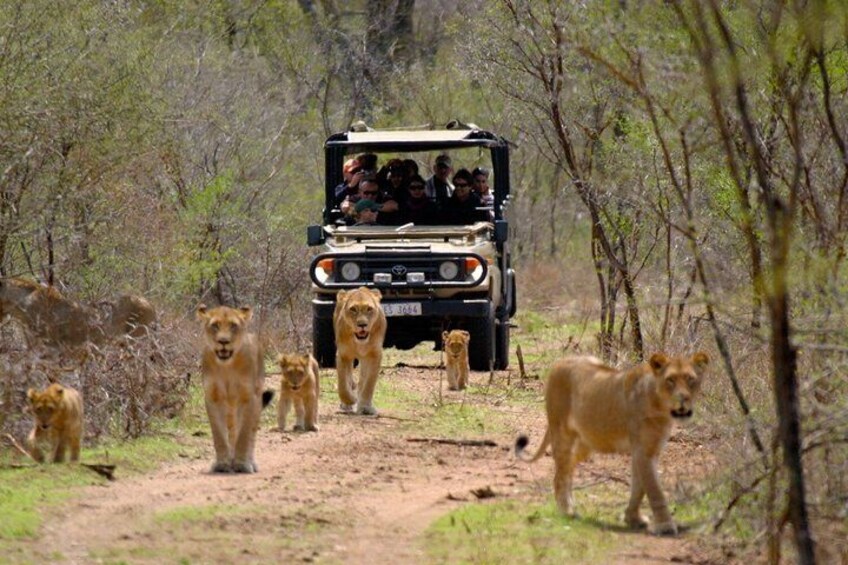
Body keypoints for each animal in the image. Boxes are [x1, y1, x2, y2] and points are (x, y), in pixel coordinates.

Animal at [197, 304, 270, 473]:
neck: (226, 366)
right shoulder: (212, 397)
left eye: (233, 326)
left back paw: (250, 462)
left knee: (251, 433)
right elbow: (219, 434)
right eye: (215, 325)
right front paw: (222, 464)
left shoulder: (249, 397)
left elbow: (244, 434)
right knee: (231, 431)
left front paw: (242, 464)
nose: (224, 341)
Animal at [333, 287, 387, 415]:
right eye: (353, 309)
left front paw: (365, 407)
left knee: (362, 381)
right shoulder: (343, 355)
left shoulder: (375, 355)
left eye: (369, 309)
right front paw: (351, 400)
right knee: (349, 379)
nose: (362, 324)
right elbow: (343, 384)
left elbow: (368, 384)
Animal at [515, 352, 710, 536]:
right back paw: (566, 510)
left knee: (568, 468)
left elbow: (639, 487)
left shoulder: (649, 449)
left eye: (691, 379)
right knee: (560, 473)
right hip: (562, 432)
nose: (683, 398)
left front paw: (633, 518)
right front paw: (665, 525)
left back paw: (569, 504)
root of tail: (560, 362)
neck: (661, 408)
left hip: (586, 443)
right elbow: (654, 489)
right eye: (670, 380)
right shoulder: (643, 451)